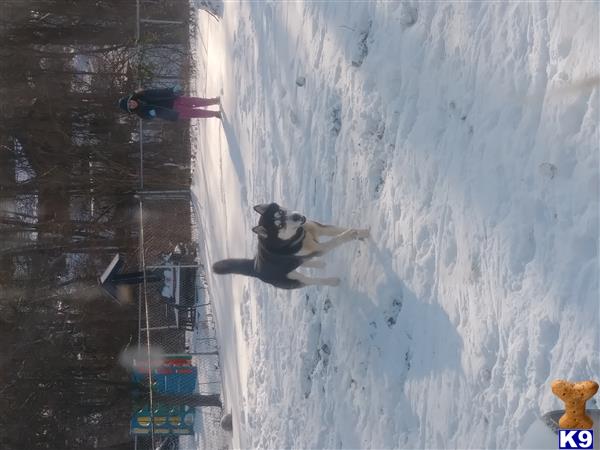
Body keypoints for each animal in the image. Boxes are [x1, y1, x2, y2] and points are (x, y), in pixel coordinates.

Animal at [211, 203, 370, 290]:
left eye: (281, 212)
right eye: (280, 225)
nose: (296, 216)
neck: (297, 236)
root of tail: (254, 268)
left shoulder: (318, 228)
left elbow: (336, 230)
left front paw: (363, 232)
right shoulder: (320, 249)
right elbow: (337, 239)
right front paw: (351, 234)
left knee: (303, 262)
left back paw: (318, 264)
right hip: (294, 280)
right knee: (312, 280)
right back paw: (332, 281)